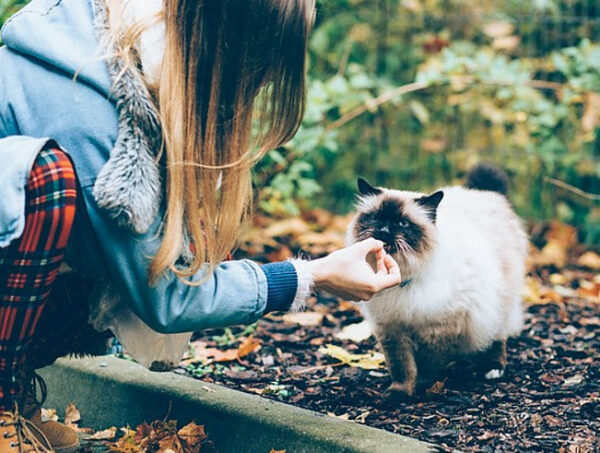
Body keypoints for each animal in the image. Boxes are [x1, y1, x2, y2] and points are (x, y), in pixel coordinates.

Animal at [346, 164, 524, 398]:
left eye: (402, 223)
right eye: (376, 218)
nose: (383, 232)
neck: (404, 279)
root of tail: (485, 193)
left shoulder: (437, 329)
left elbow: (427, 363)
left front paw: (423, 384)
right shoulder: (392, 329)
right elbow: (401, 366)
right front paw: (399, 393)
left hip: (498, 305)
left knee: (496, 337)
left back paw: (492, 369)